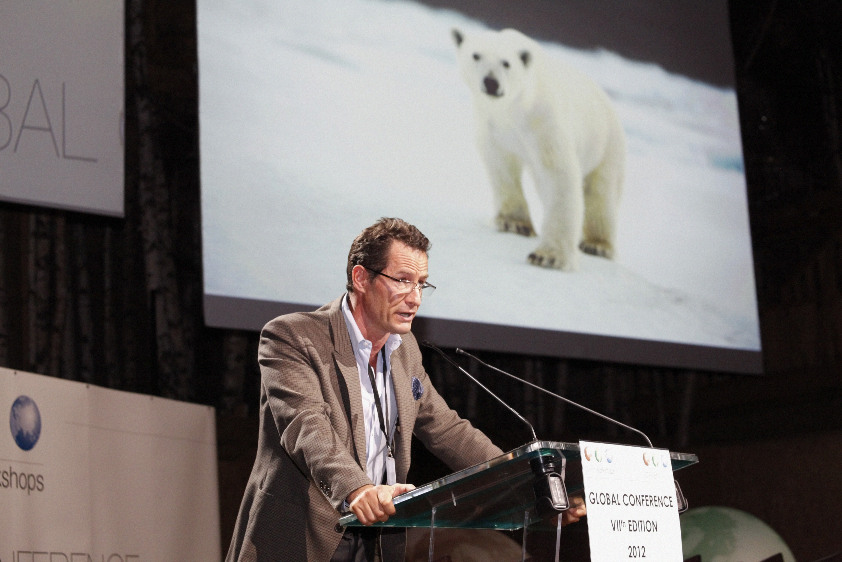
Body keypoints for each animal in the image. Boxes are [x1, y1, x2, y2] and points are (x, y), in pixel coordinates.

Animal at [452, 27, 624, 270]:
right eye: (476, 55)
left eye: (506, 63)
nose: (491, 82)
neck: (513, 107)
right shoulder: (492, 125)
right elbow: (501, 164)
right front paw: (514, 223)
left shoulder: (543, 121)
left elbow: (559, 175)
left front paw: (548, 256)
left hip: (605, 143)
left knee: (601, 193)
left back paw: (597, 244)